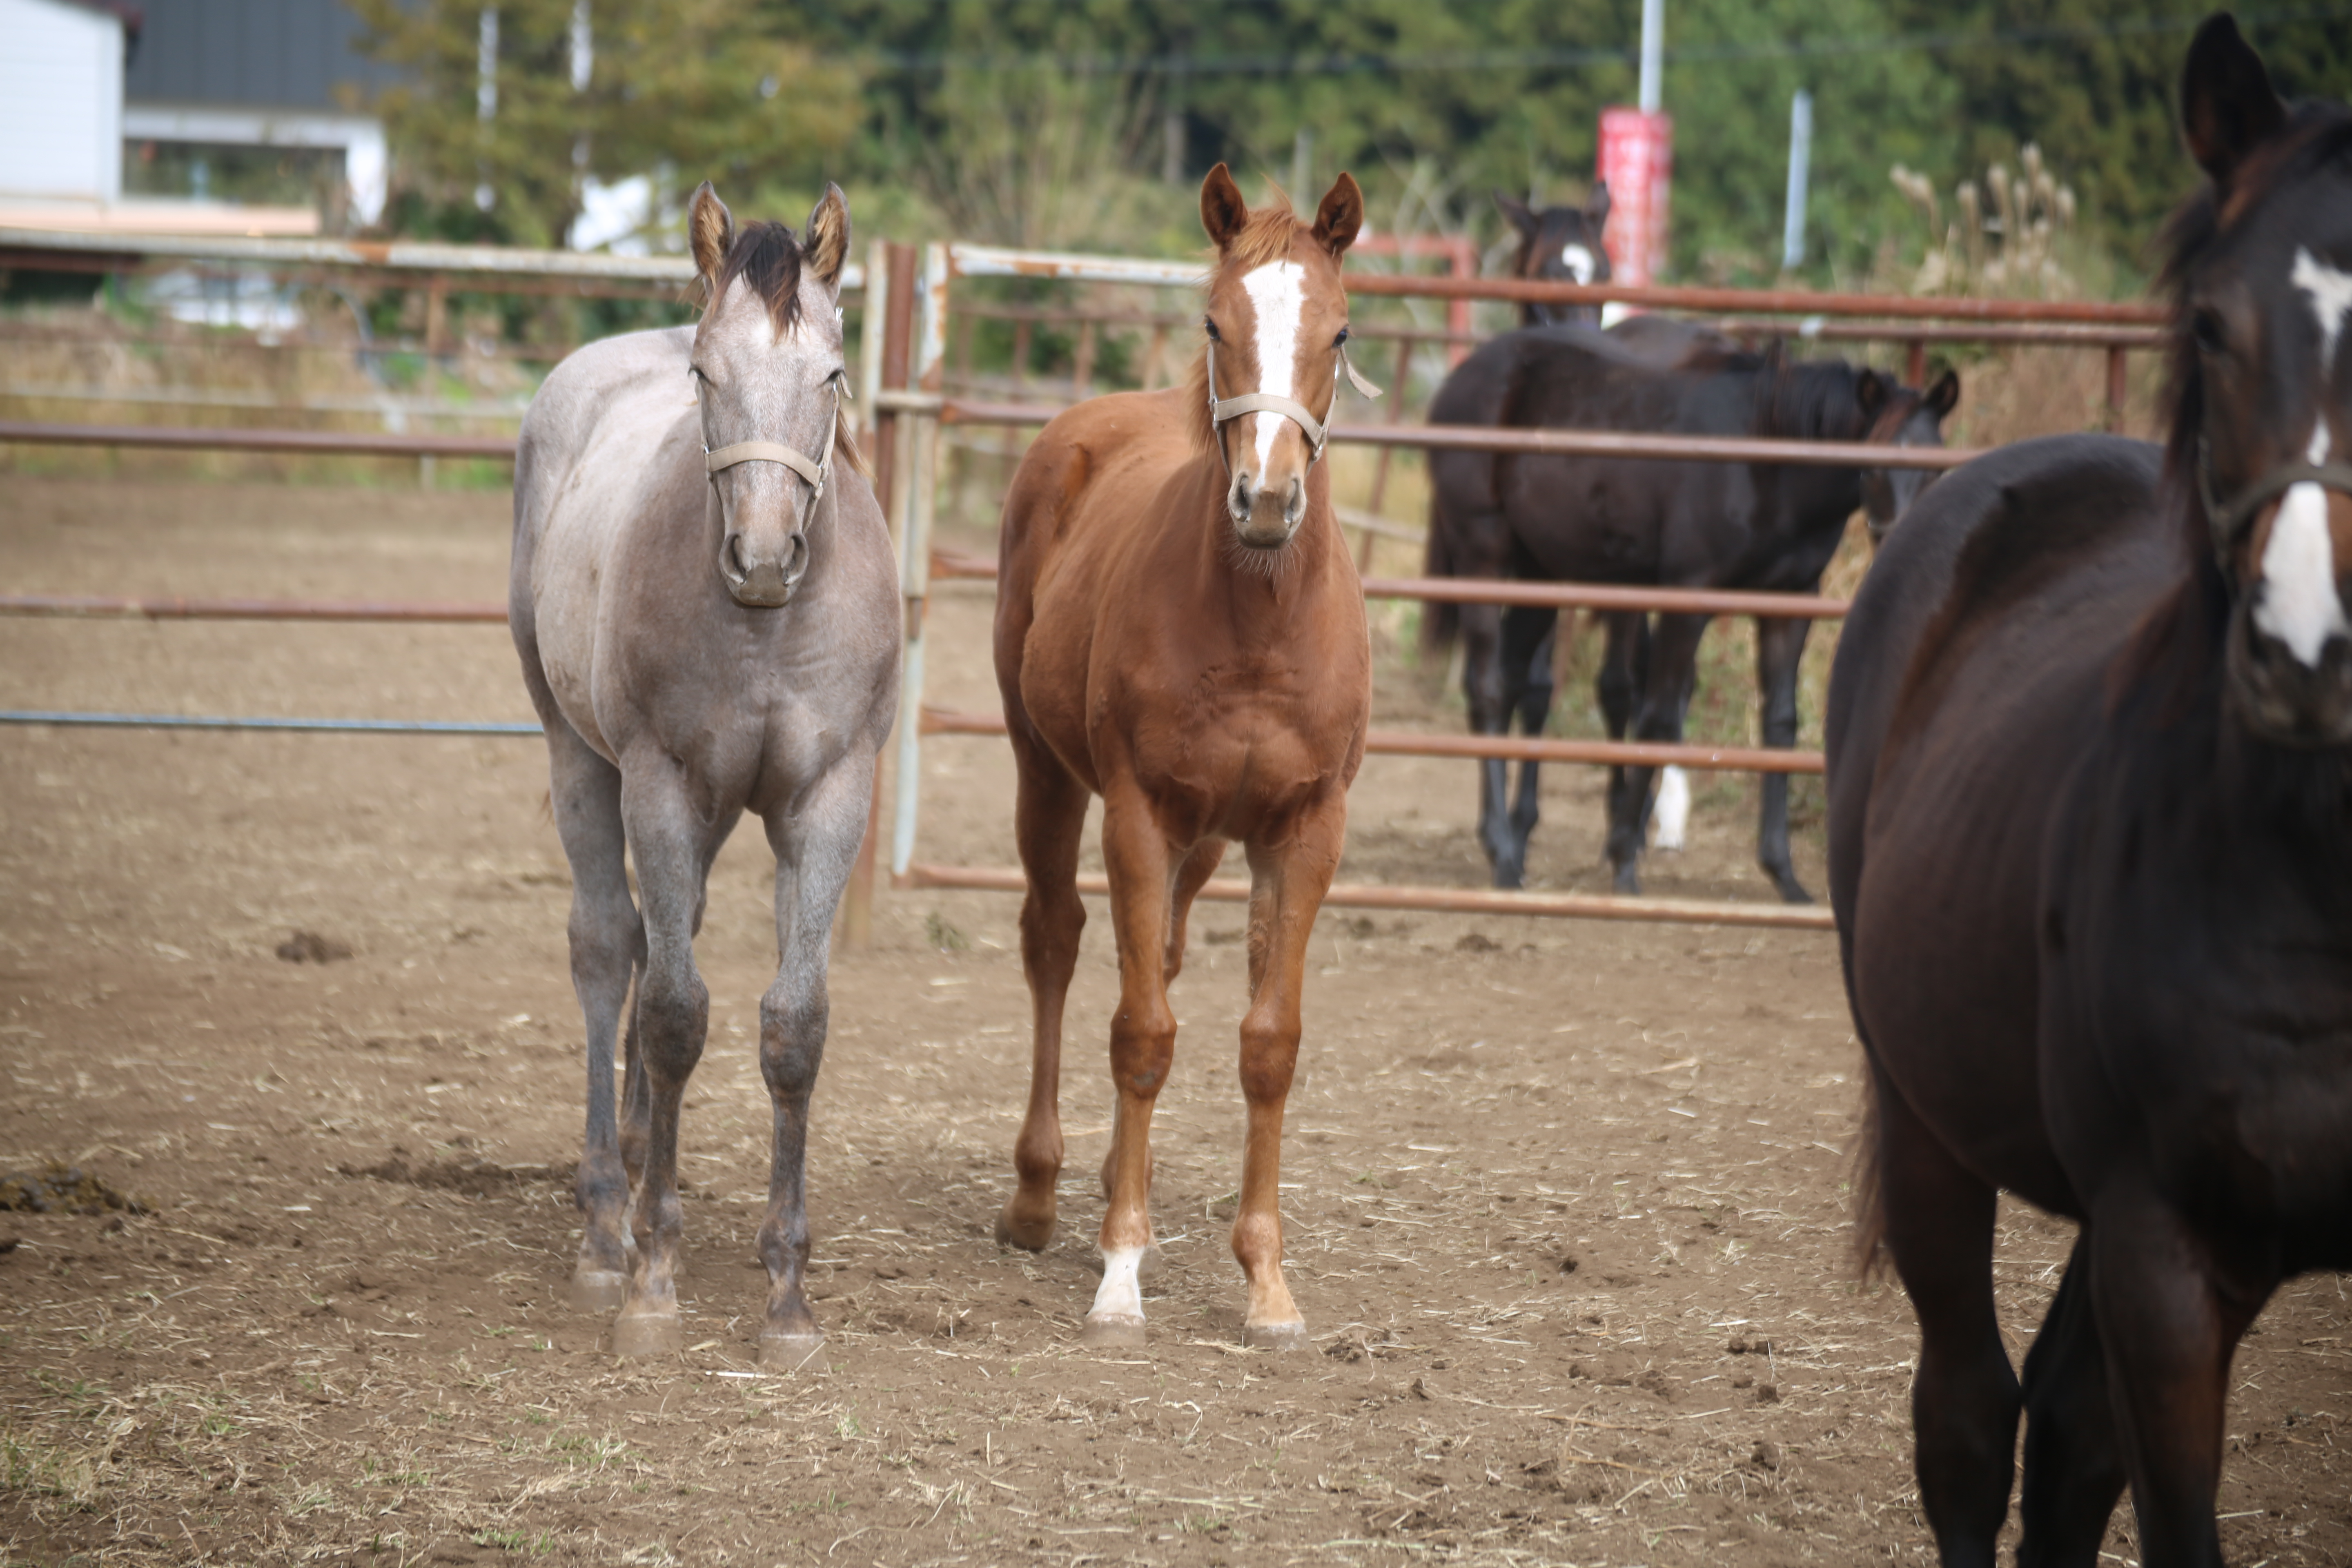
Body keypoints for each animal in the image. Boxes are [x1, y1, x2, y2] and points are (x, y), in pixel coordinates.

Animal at [510, 181, 893, 1363]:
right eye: (703, 374)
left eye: (832, 374)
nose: (763, 559)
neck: (766, 628)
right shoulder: (662, 783)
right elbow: (678, 1013)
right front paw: (654, 1276)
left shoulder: (827, 797)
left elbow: (792, 1026)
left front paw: (788, 1295)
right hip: (580, 758)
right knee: (607, 949)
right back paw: (606, 1216)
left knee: (650, 934)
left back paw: (637, 1162)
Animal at [988, 169, 1373, 1354]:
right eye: (1215, 323)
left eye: (1340, 332)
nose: (1266, 500)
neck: (1255, 620)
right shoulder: (1137, 810)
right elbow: (1140, 1033)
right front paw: (1120, 1270)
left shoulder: (1304, 829)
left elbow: (1266, 1042)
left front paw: (1267, 1283)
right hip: (1046, 773)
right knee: (1057, 943)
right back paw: (1040, 1194)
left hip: (1206, 841)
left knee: (1153, 955)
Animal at [1421, 322, 1957, 893]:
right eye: (1873, 468)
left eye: (1938, 470)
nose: (1911, 547)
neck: (1767, 465)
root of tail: (1461, 380)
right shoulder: (1688, 597)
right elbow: (1657, 718)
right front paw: (1624, 859)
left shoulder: (1790, 604)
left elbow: (1781, 722)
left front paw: (1783, 873)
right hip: (1482, 557)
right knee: (1487, 688)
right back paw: (1502, 852)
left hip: (1539, 571)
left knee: (1516, 685)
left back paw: (1512, 849)